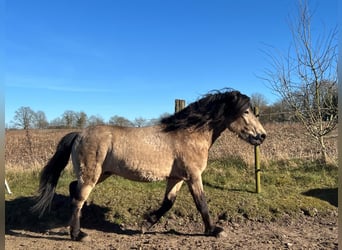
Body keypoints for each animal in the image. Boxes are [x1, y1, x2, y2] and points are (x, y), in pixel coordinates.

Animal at [31, 89, 268, 240]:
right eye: (246, 111)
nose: (262, 136)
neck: (189, 133)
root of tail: (78, 134)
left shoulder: (177, 177)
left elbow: (168, 203)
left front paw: (145, 224)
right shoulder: (193, 176)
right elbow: (202, 203)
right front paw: (214, 230)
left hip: (102, 173)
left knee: (74, 189)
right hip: (92, 174)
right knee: (77, 198)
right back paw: (78, 234)